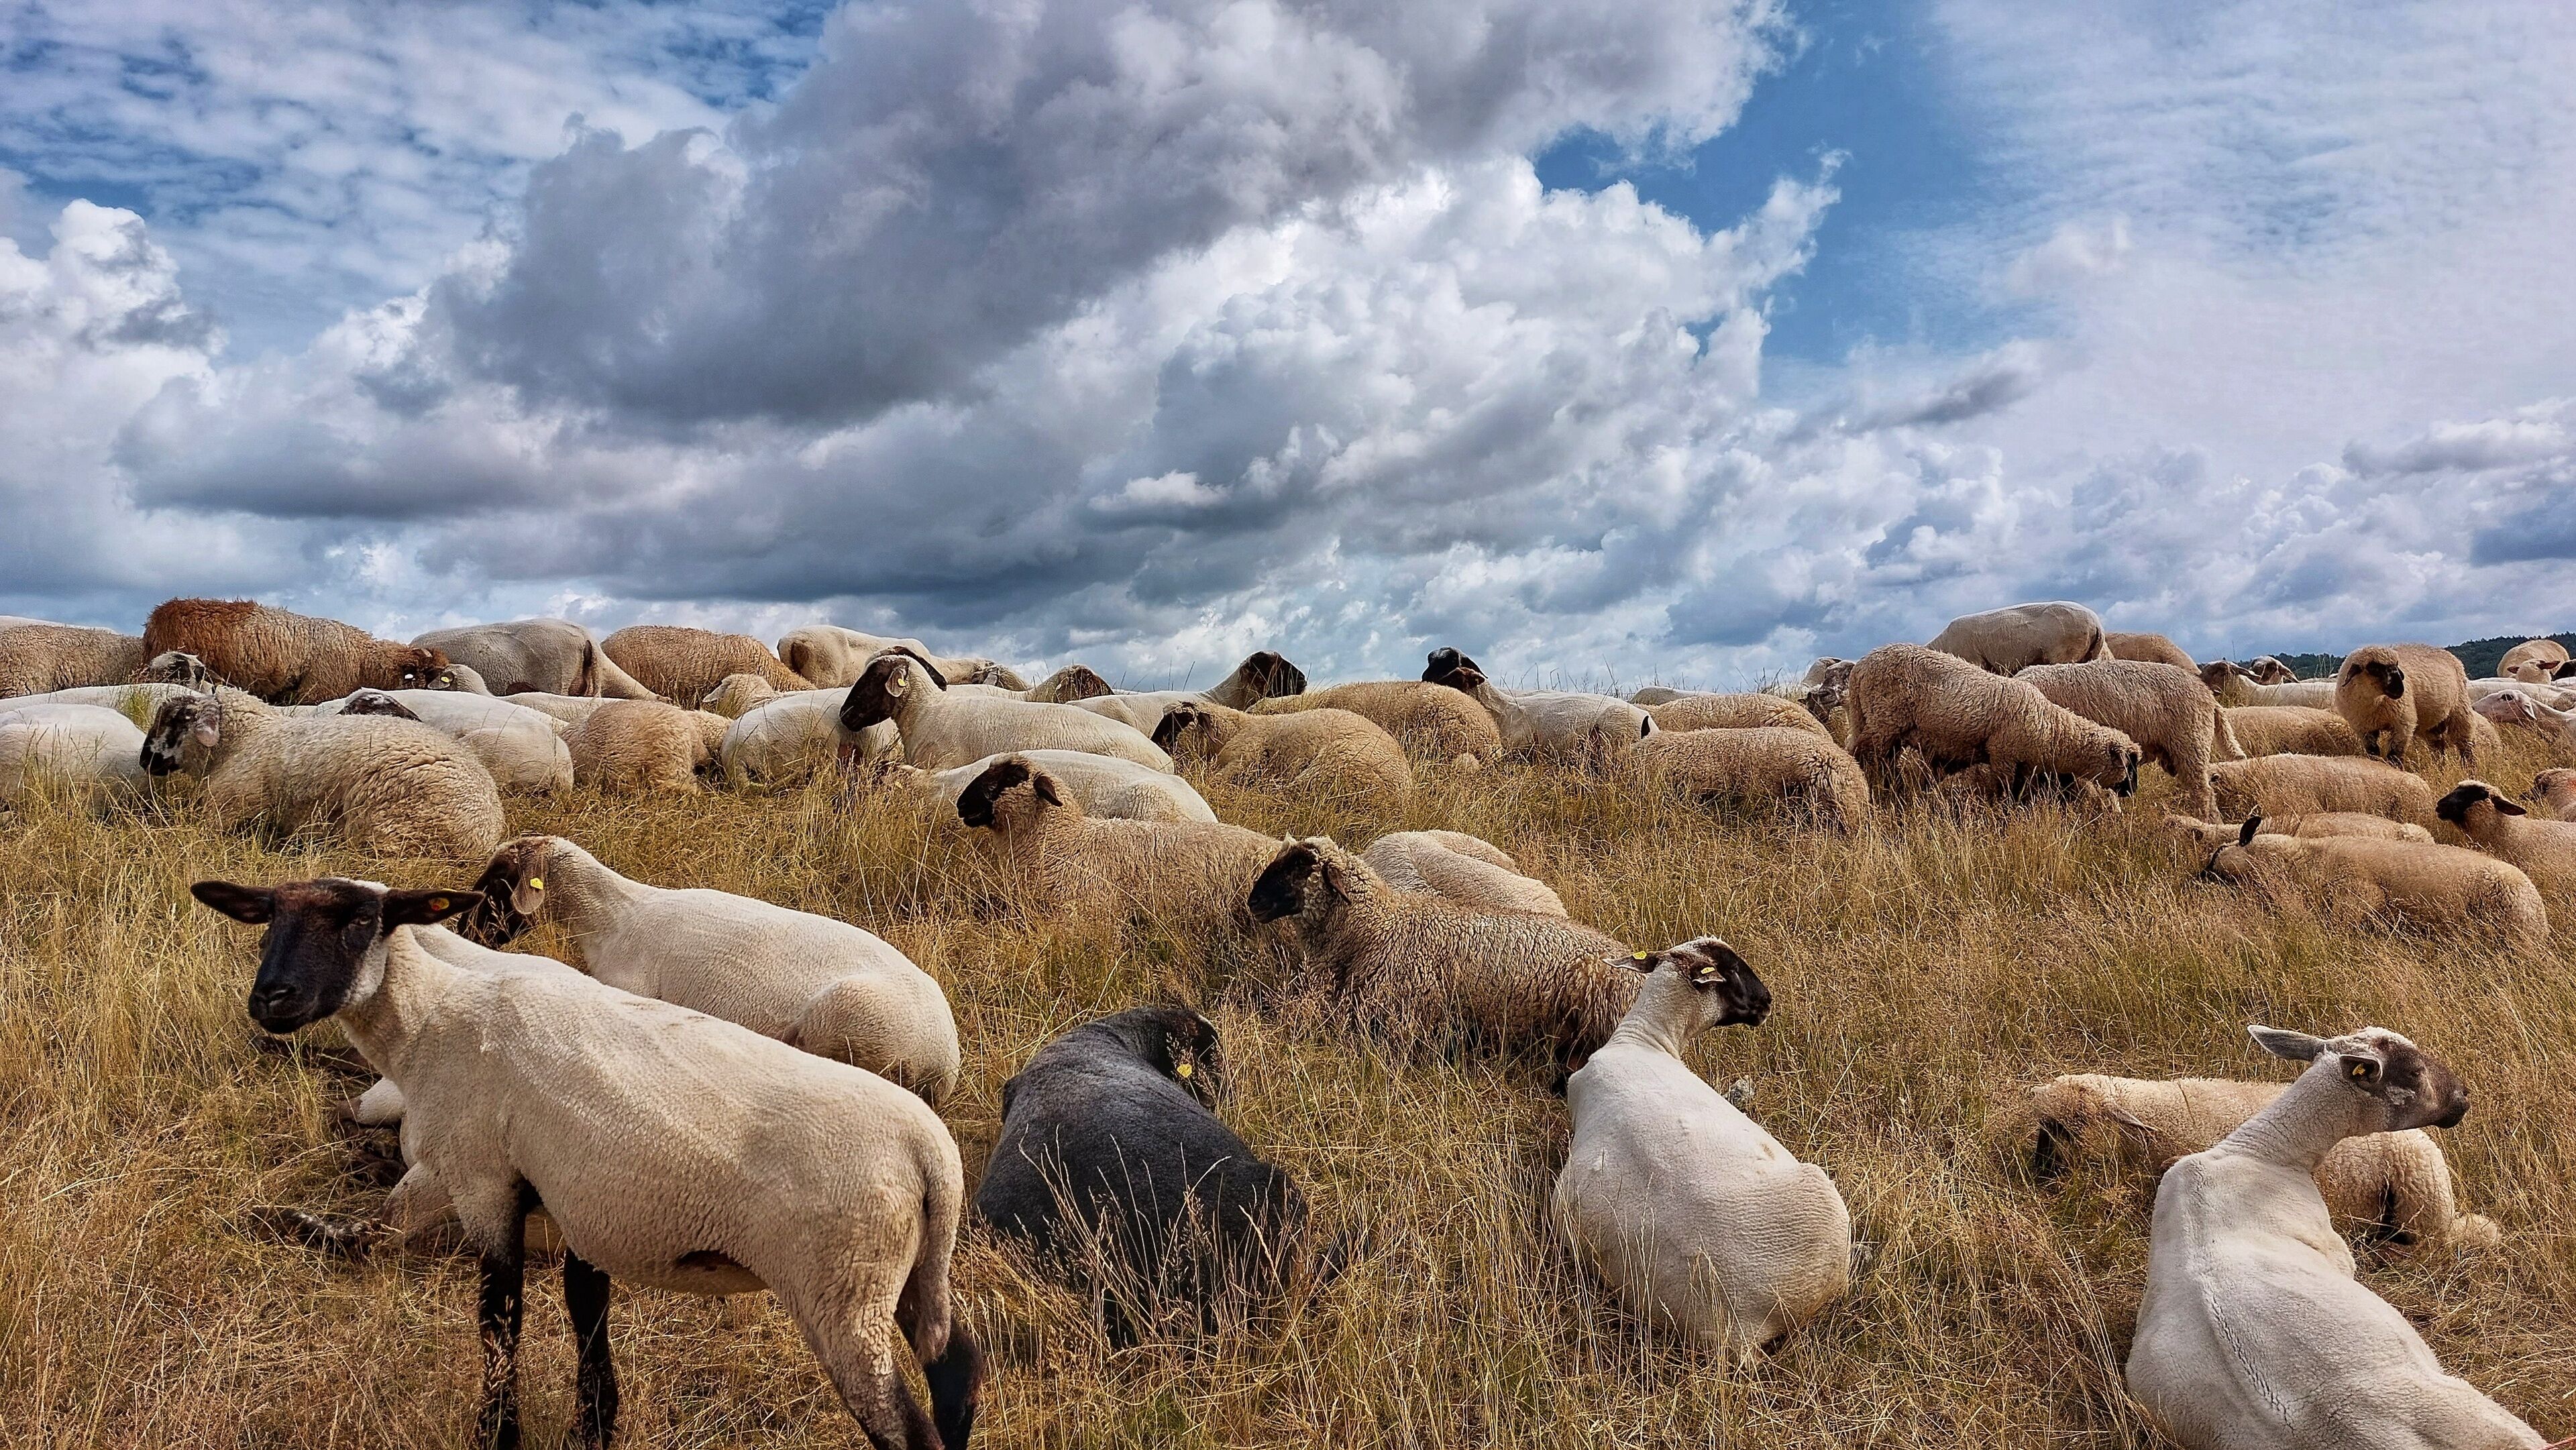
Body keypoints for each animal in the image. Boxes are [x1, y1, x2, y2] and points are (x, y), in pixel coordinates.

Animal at [141, 689, 504, 858]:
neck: (247, 739)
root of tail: (485, 835)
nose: (145, 759)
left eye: (177, 719)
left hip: (386, 822)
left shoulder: (230, 807)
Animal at [189, 877, 983, 1450]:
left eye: (359, 922)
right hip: (906, 1273)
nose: (271, 1000)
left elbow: (499, 1317)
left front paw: (498, 1433)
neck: (435, 1021)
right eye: (267, 917)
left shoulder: (481, 1182)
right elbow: (584, 1312)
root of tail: (932, 1153)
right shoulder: (573, 1200)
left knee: (907, 1430)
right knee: (959, 1370)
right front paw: (594, 1425)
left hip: (840, 1293)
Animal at [1149, 700, 1412, 804]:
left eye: (1177, 723)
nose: (1154, 744)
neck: (1236, 730)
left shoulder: (1245, 755)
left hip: (1333, 764)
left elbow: (1217, 779)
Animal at [1842, 644, 2141, 802]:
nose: (2132, 793)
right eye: (2128, 766)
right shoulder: (2003, 756)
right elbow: (2004, 794)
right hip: (1885, 720)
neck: (2051, 730)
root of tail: (1861, 668)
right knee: (1866, 755)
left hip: (1875, 722)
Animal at [2336, 643, 2479, 765]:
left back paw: (2470, 770)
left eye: (2397, 665)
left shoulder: (2403, 724)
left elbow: (2394, 755)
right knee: (2438, 746)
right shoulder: (2364, 729)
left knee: (2465, 746)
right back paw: (2440, 768)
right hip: (2432, 722)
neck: (2374, 703)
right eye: (2374, 668)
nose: (2399, 689)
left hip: (2460, 710)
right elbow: (2373, 752)